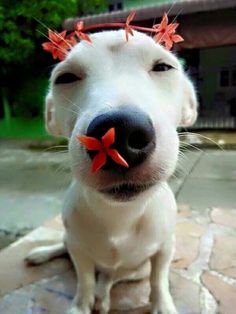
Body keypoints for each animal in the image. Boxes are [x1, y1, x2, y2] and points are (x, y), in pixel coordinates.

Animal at [25, 30, 197, 314]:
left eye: (163, 67)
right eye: (66, 78)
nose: (121, 132)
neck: (120, 214)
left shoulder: (164, 248)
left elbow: (158, 279)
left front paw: (162, 304)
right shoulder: (80, 251)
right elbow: (83, 280)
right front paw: (80, 305)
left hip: (136, 269)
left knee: (111, 276)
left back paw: (103, 296)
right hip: (72, 241)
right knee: (67, 248)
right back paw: (42, 254)